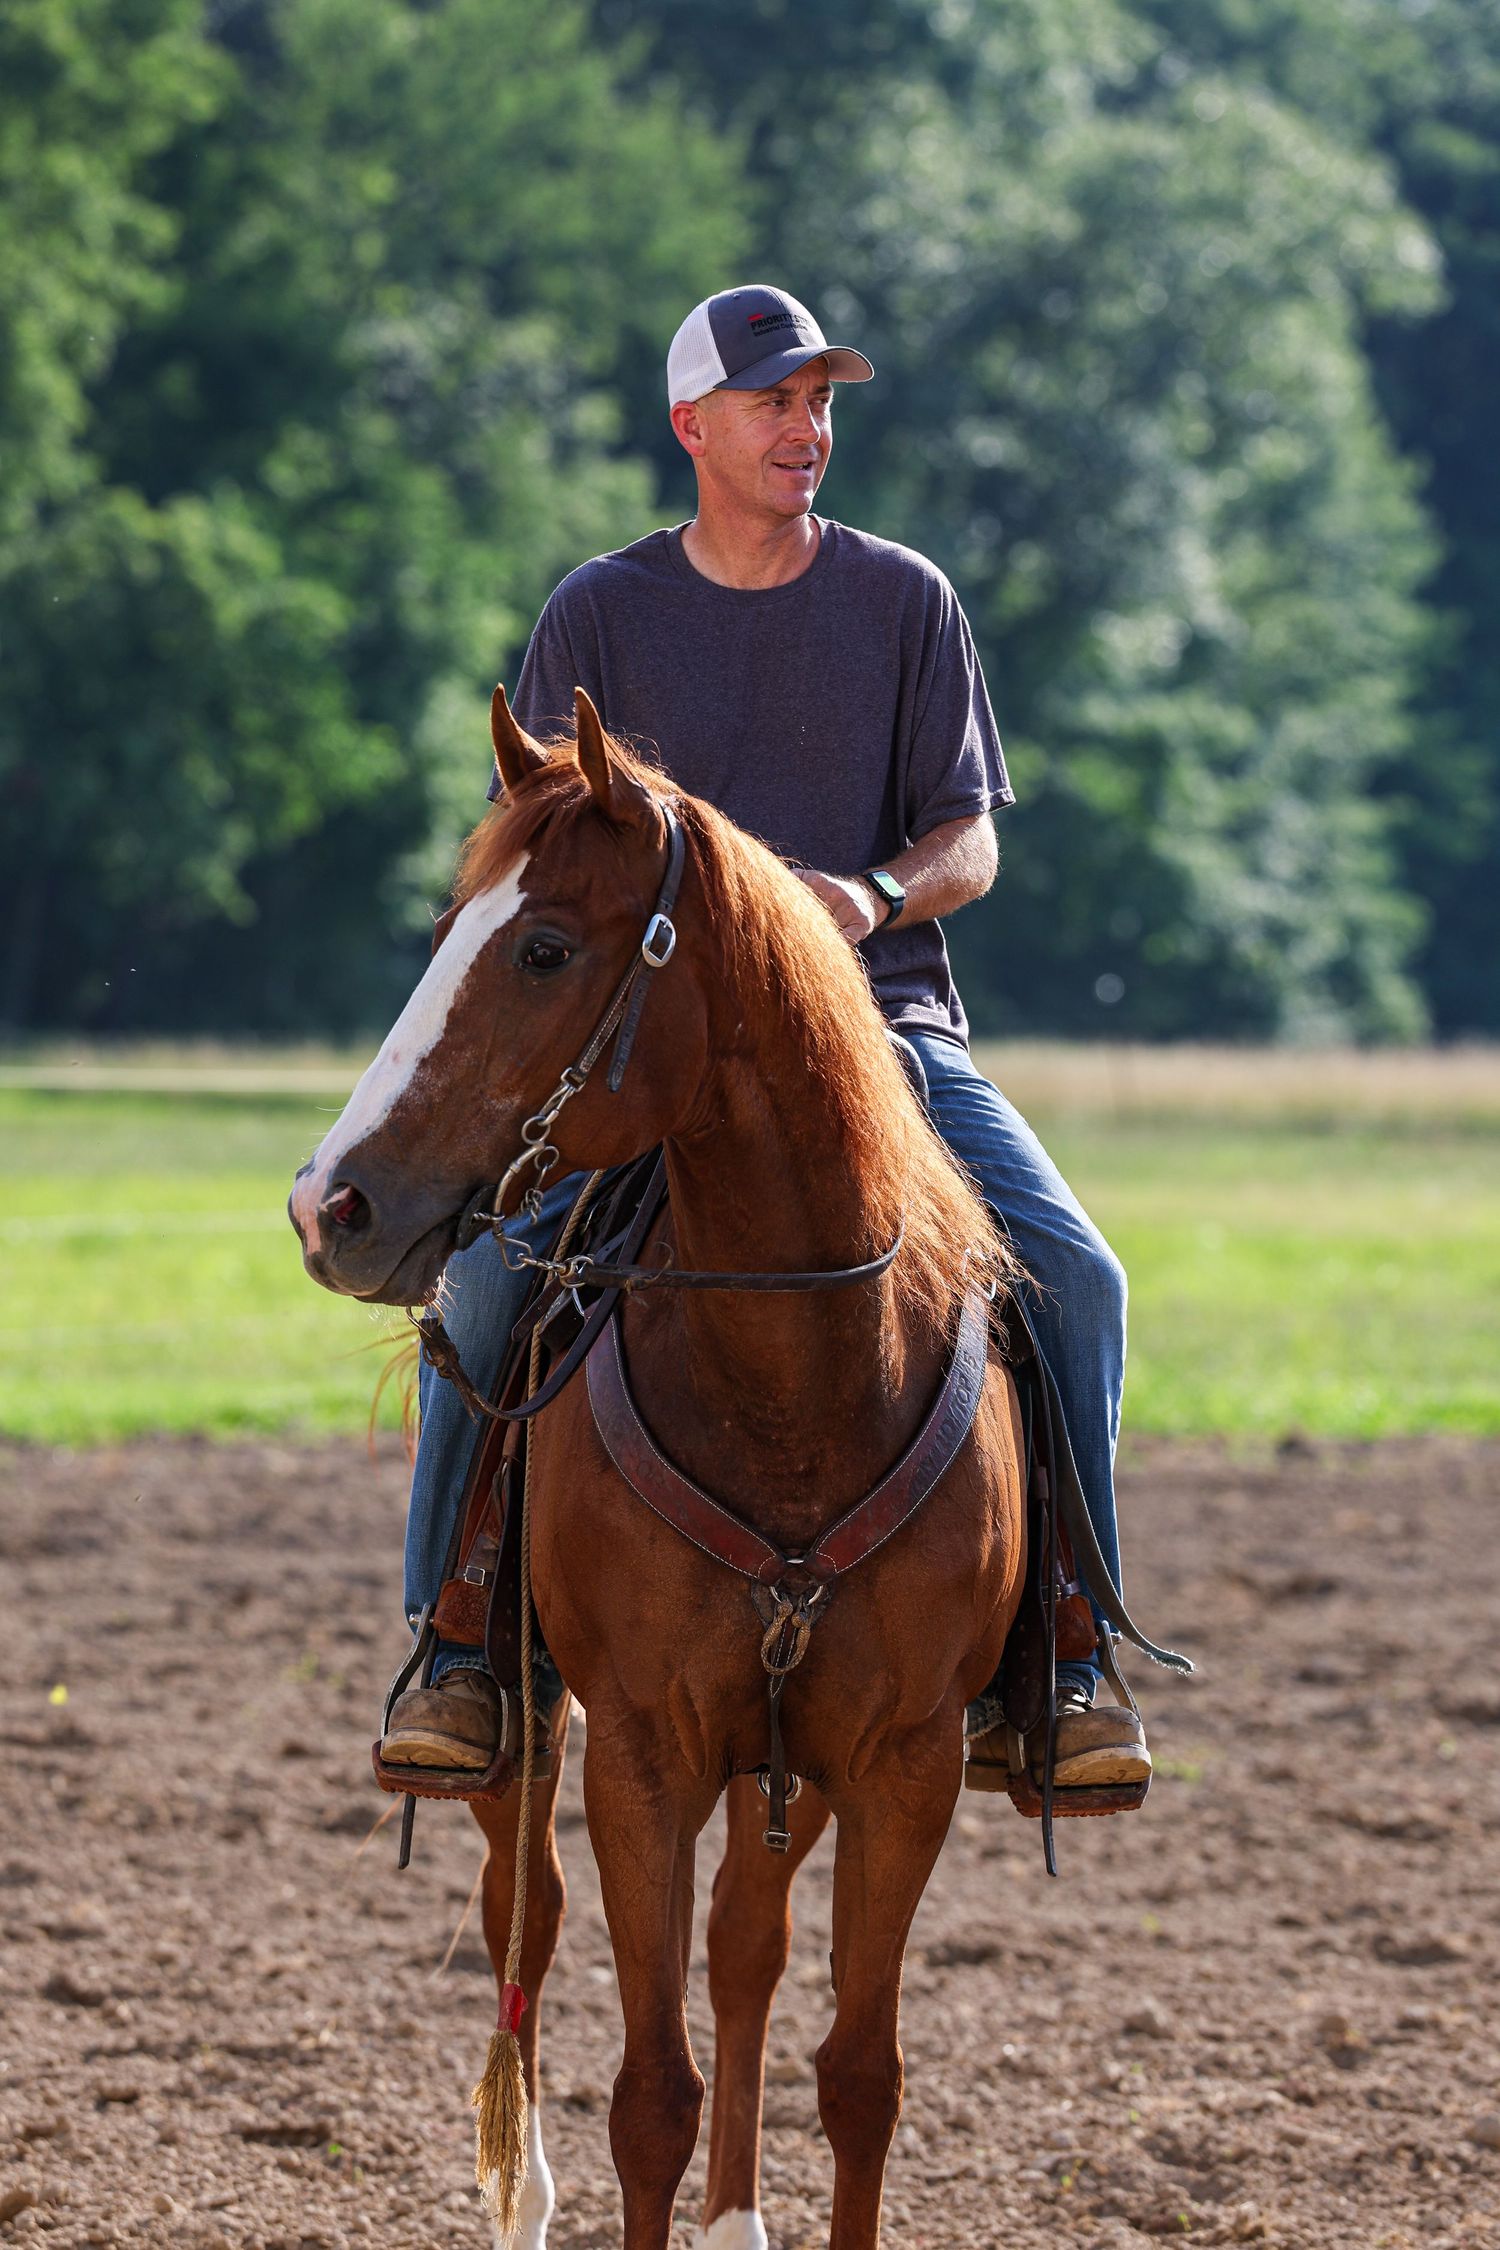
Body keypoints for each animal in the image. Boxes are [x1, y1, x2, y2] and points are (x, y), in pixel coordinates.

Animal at [289, 687, 1028, 2250]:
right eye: (446, 923)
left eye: (545, 946)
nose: (333, 1204)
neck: (799, 1382)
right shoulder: (641, 1746)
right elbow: (648, 2095)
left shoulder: (902, 1761)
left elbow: (855, 2074)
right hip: (525, 1715)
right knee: (527, 1910)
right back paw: (521, 2195)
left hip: (790, 1760)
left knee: (745, 1947)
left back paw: (739, 2216)